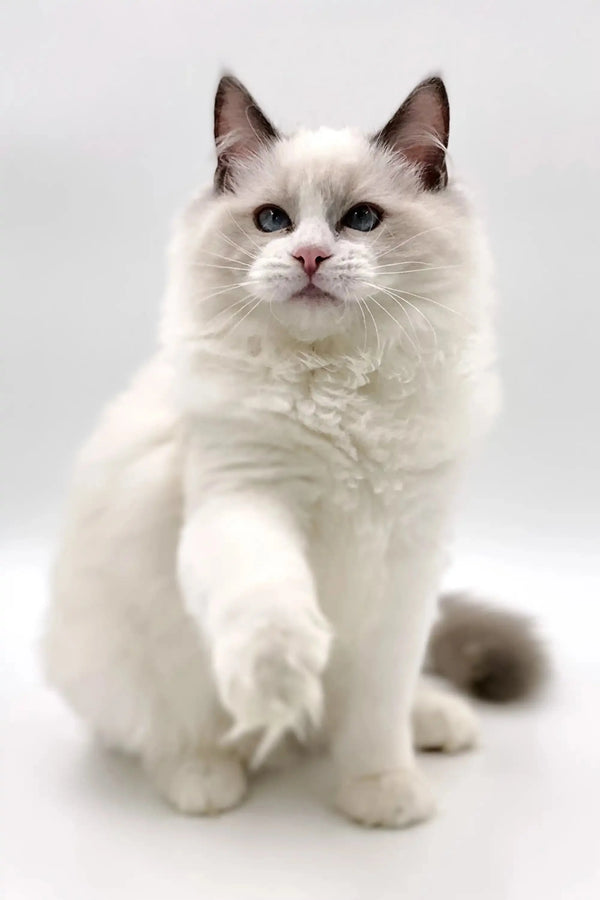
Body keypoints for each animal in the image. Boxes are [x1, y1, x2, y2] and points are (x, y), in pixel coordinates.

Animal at [39, 74, 504, 828]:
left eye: (362, 220)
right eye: (272, 222)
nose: (309, 257)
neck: (339, 390)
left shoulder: (404, 568)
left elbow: (377, 714)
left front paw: (382, 791)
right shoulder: (243, 494)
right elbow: (269, 601)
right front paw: (282, 676)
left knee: (370, 708)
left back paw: (435, 721)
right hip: (127, 660)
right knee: (161, 732)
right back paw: (209, 774)